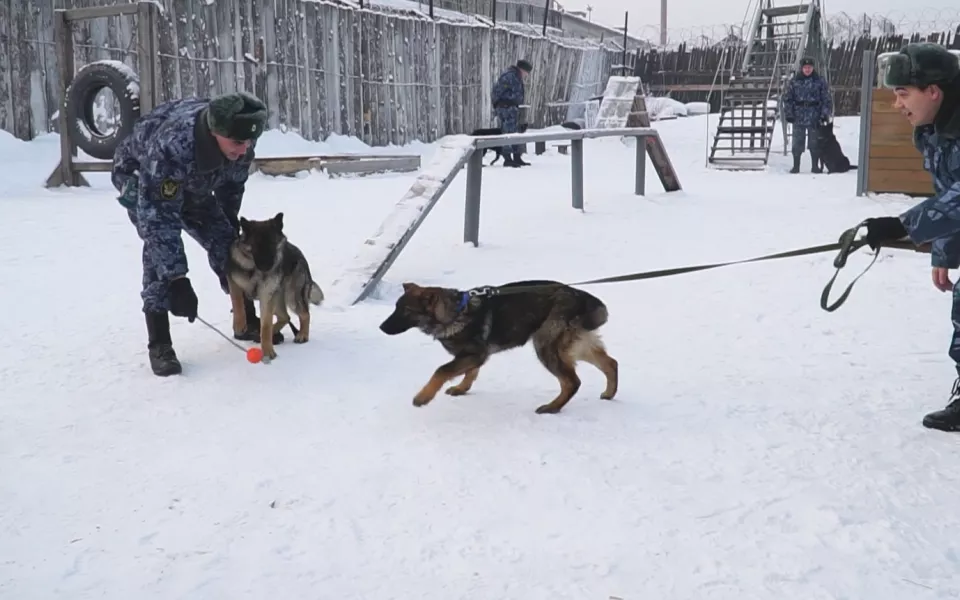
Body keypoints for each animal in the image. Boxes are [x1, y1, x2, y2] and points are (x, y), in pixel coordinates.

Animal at [227, 212, 324, 358]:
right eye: (257, 246)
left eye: (272, 244)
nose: (268, 267)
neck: (255, 269)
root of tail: (300, 255)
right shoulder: (234, 283)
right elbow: (237, 302)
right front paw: (239, 324)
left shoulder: (266, 296)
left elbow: (266, 325)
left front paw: (267, 350)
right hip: (278, 298)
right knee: (285, 317)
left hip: (291, 296)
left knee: (304, 314)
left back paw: (302, 335)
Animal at [378, 280, 620, 412]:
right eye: (396, 308)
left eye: (405, 311)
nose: (381, 327)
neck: (454, 312)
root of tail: (580, 295)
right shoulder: (475, 356)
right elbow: (471, 373)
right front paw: (462, 388)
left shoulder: (473, 354)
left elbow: (441, 370)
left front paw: (423, 397)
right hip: (575, 343)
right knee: (610, 363)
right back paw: (609, 393)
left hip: (546, 345)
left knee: (572, 382)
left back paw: (552, 408)